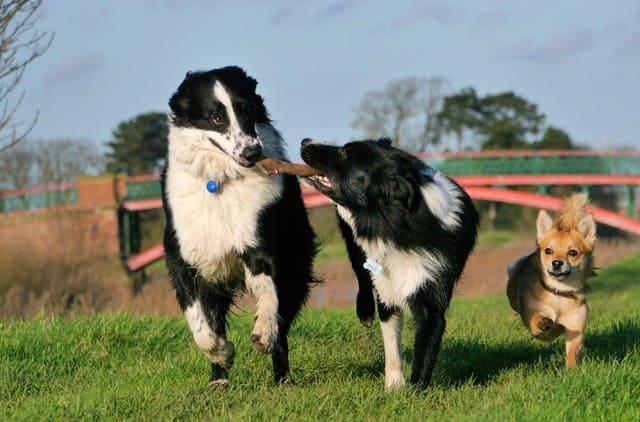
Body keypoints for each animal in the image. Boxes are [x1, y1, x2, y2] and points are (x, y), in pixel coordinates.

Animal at [508, 196, 596, 368]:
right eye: (548, 251)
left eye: (573, 253)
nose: (556, 263)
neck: (559, 292)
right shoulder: (533, 321)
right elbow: (536, 320)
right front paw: (544, 322)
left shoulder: (575, 328)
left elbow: (572, 352)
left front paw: (571, 370)